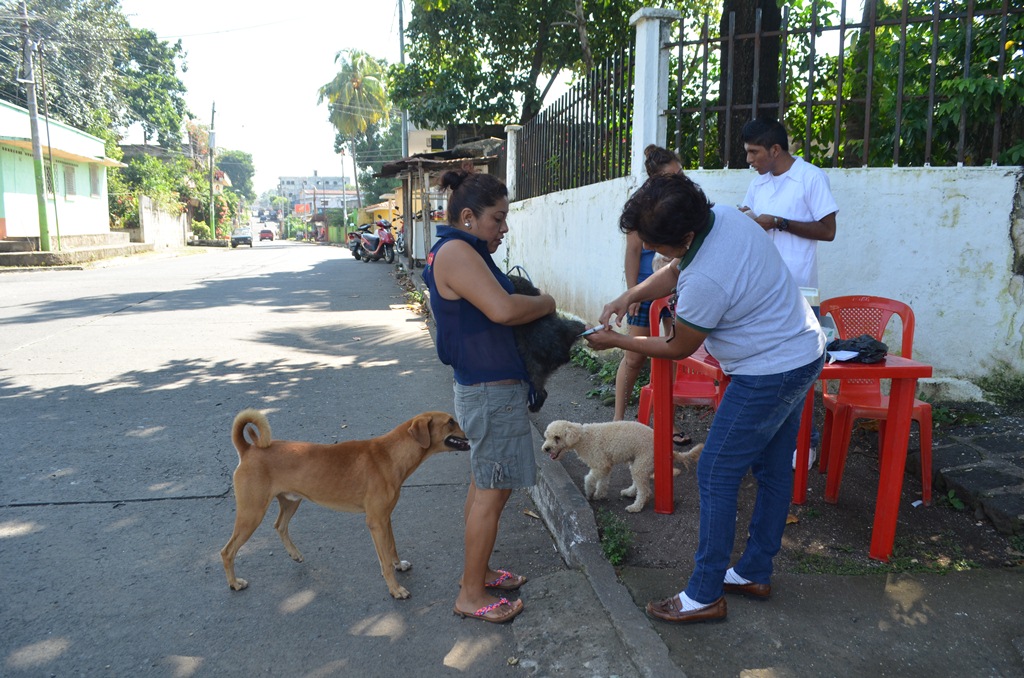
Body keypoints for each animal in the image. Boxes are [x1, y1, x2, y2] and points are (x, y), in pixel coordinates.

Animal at [222, 409, 468, 602]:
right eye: (451, 421)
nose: (469, 432)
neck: (390, 455)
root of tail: (248, 449)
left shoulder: (385, 518)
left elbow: (391, 548)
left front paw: (399, 565)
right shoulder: (376, 522)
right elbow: (385, 562)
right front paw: (395, 589)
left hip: (291, 501)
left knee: (279, 526)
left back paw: (295, 554)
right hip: (251, 513)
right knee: (227, 551)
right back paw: (234, 583)